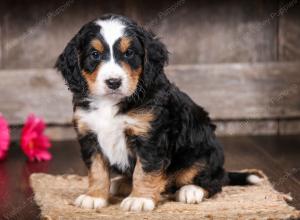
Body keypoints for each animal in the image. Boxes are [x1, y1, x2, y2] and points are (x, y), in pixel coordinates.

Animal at [56, 13, 262, 211]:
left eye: (129, 53)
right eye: (95, 54)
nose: (113, 82)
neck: (111, 103)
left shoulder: (151, 137)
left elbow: (144, 170)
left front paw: (139, 199)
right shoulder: (89, 135)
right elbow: (96, 170)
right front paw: (94, 197)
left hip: (203, 152)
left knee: (213, 180)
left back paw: (191, 190)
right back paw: (122, 183)